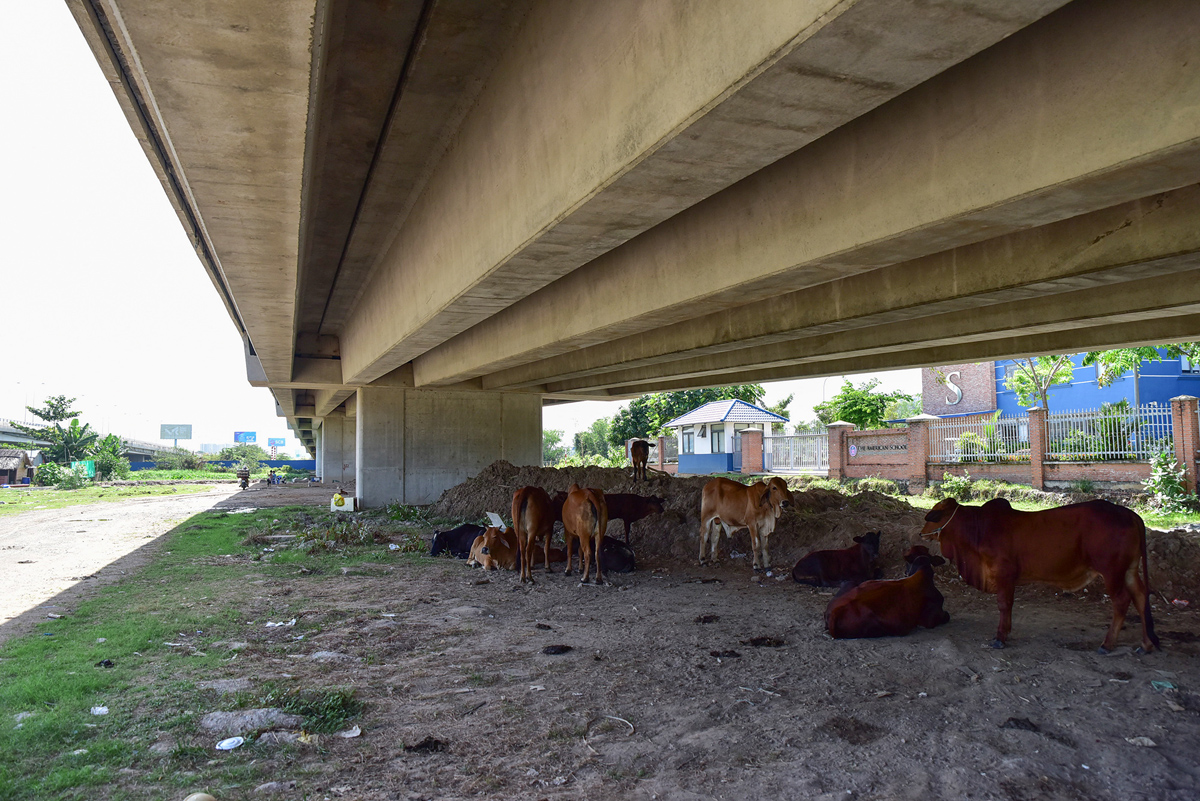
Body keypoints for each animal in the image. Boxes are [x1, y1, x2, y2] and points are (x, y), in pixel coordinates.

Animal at [820, 544, 950, 637]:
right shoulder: (930, 619)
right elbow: (946, 616)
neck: (922, 571)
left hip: (850, 583)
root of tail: (834, 612)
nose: (905, 572)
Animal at [916, 496, 1161, 652]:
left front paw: (1000, 637)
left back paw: (1108, 644)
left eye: (933, 515)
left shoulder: (1004, 574)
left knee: (1122, 601)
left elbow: (1004, 605)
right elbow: (1009, 606)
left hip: (1112, 571)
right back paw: (1146, 644)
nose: (921, 533)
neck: (978, 529)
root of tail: (1130, 514)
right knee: (1140, 597)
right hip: (1129, 569)